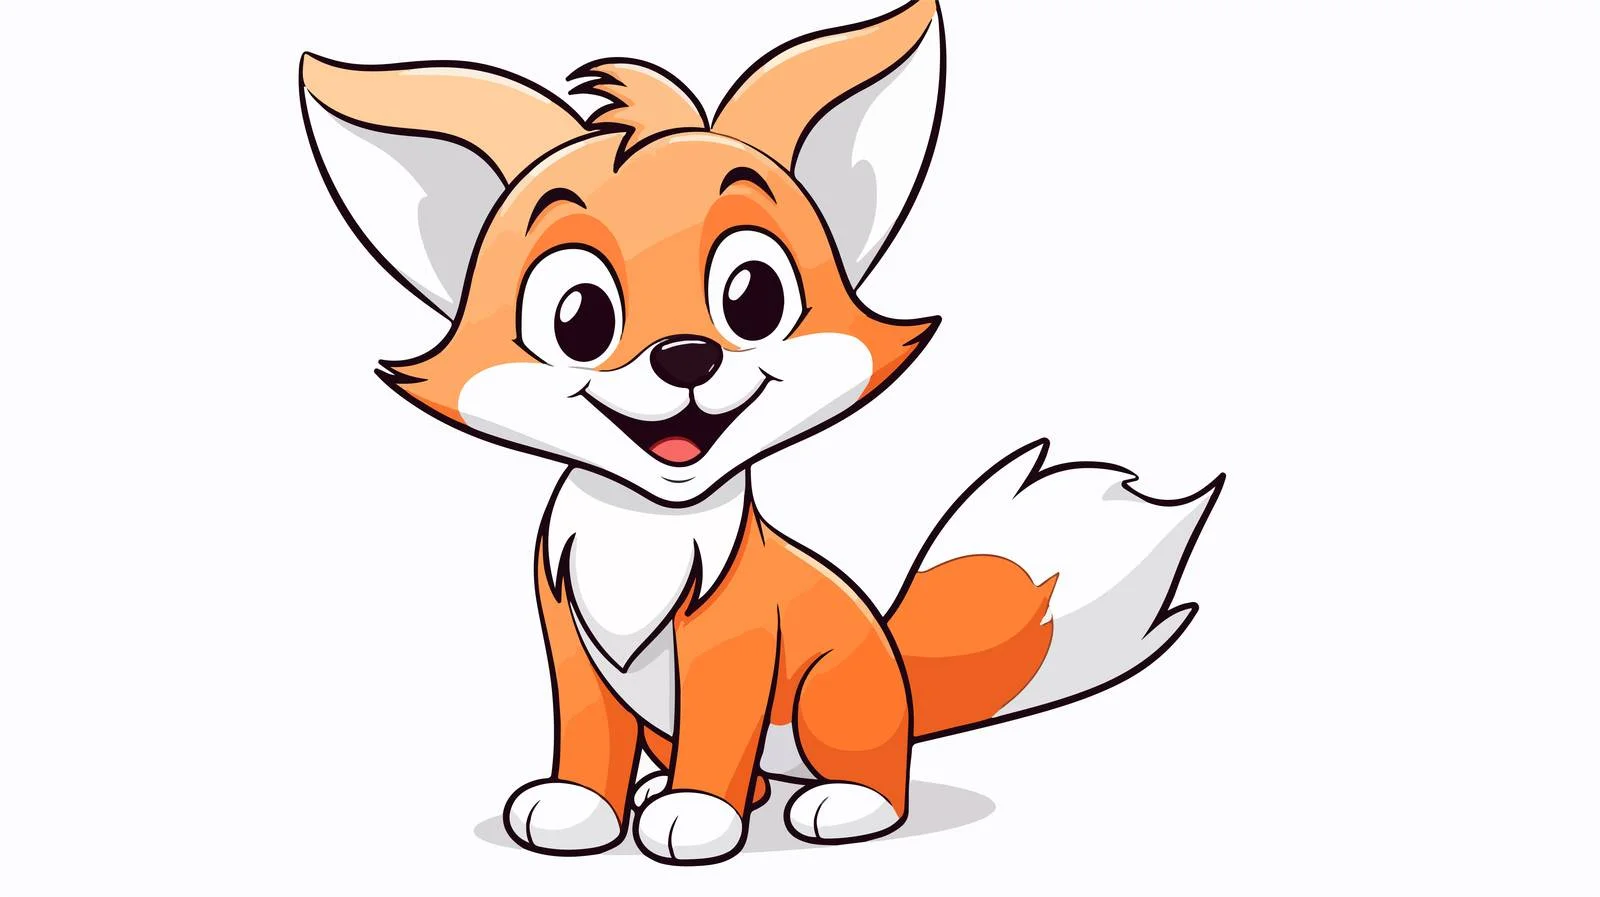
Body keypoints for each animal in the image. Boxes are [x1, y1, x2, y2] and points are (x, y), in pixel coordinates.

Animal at [299, 0, 1221, 865]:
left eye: (753, 297)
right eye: (579, 316)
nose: (687, 354)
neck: (642, 533)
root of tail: (900, 669)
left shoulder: (732, 639)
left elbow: (718, 731)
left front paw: (698, 815)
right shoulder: (569, 634)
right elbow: (587, 734)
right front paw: (581, 806)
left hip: (834, 698)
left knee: (877, 774)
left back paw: (834, 803)